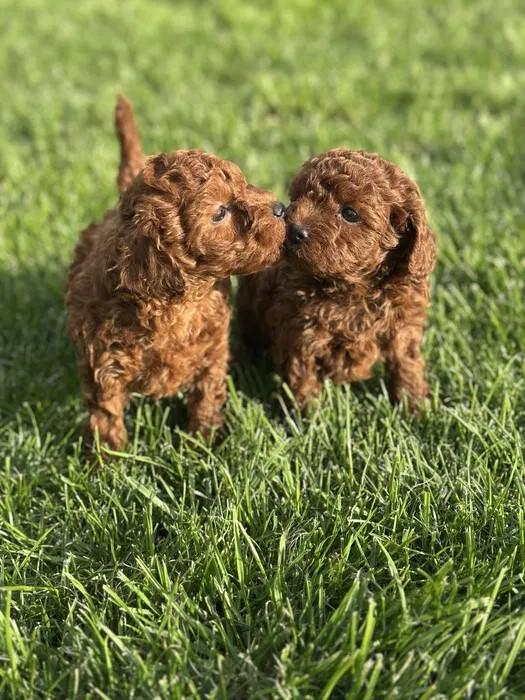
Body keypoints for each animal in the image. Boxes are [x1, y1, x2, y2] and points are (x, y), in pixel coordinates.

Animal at [66, 96, 285, 450]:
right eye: (220, 213)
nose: (281, 208)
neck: (177, 305)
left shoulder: (212, 353)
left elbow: (206, 398)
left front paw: (203, 443)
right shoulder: (103, 364)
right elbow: (106, 415)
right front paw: (107, 458)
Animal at [238, 148, 436, 410]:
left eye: (350, 214)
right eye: (298, 196)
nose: (293, 230)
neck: (353, 287)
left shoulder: (403, 326)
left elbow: (406, 364)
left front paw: (415, 406)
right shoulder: (301, 333)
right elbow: (303, 376)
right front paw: (308, 414)